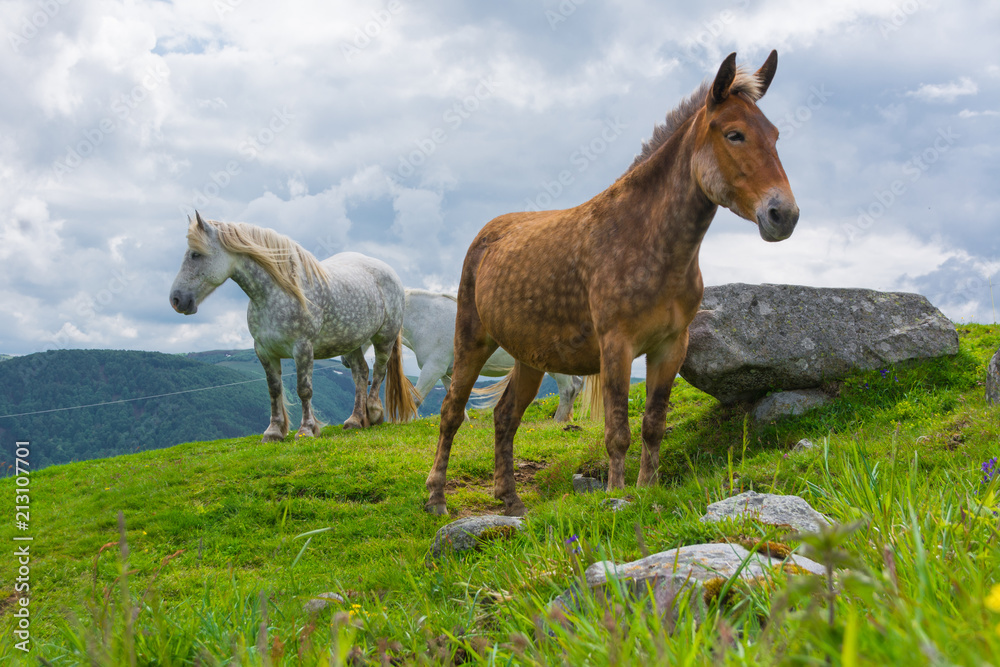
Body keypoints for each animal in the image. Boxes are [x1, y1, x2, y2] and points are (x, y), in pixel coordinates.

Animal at [169, 212, 418, 439]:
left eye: (195, 254)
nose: (176, 299)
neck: (275, 294)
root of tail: (389, 272)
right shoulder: (264, 351)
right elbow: (274, 389)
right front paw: (273, 431)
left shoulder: (303, 349)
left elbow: (304, 389)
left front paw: (306, 429)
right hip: (351, 342)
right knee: (361, 373)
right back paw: (355, 420)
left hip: (384, 337)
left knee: (378, 371)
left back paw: (374, 412)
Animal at [401, 288, 584, 421]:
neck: (429, 318)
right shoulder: (446, 373)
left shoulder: (433, 369)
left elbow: (415, 399)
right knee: (576, 385)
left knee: (568, 389)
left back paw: (558, 421)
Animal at [425, 51, 799, 516]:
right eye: (735, 134)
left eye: (775, 135)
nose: (784, 215)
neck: (647, 240)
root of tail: (487, 235)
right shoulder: (617, 345)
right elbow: (618, 429)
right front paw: (617, 494)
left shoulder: (670, 347)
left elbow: (653, 425)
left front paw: (647, 488)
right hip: (471, 341)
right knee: (451, 412)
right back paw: (436, 499)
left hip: (529, 357)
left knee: (505, 416)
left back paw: (510, 500)